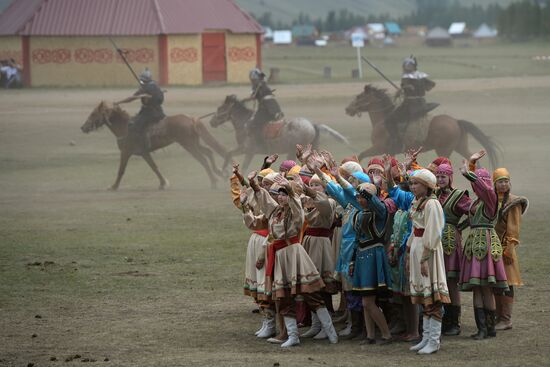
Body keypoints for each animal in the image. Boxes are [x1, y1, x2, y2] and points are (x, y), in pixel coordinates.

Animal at [80, 102, 229, 191]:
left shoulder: (126, 152)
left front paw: (114, 186)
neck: (125, 127)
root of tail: (191, 119)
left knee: (203, 159)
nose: (83, 127)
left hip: (189, 145)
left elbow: (121, 170)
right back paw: (219, 172)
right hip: (194, 143)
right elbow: (154, 167)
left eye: (94, 114)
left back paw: (214, 182)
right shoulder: (144, 153)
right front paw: (163, 183)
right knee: (209, 152)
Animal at [211, 93, 350, 171]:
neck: (245, 123)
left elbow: (242, 164)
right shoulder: (242, 149)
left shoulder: (248, 151)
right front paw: (224, 172)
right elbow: (228, 154)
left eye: (220, 108)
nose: (212, 121)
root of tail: (312, 125)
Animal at [348, 85, 502, 167]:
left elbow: (361, 155)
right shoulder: (389, 152)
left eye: (359, 97)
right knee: (473, 157)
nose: (348, 109)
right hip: (460, 146)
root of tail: (456, 121)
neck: (382, 120)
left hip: (444, 150)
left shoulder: (379, 148)